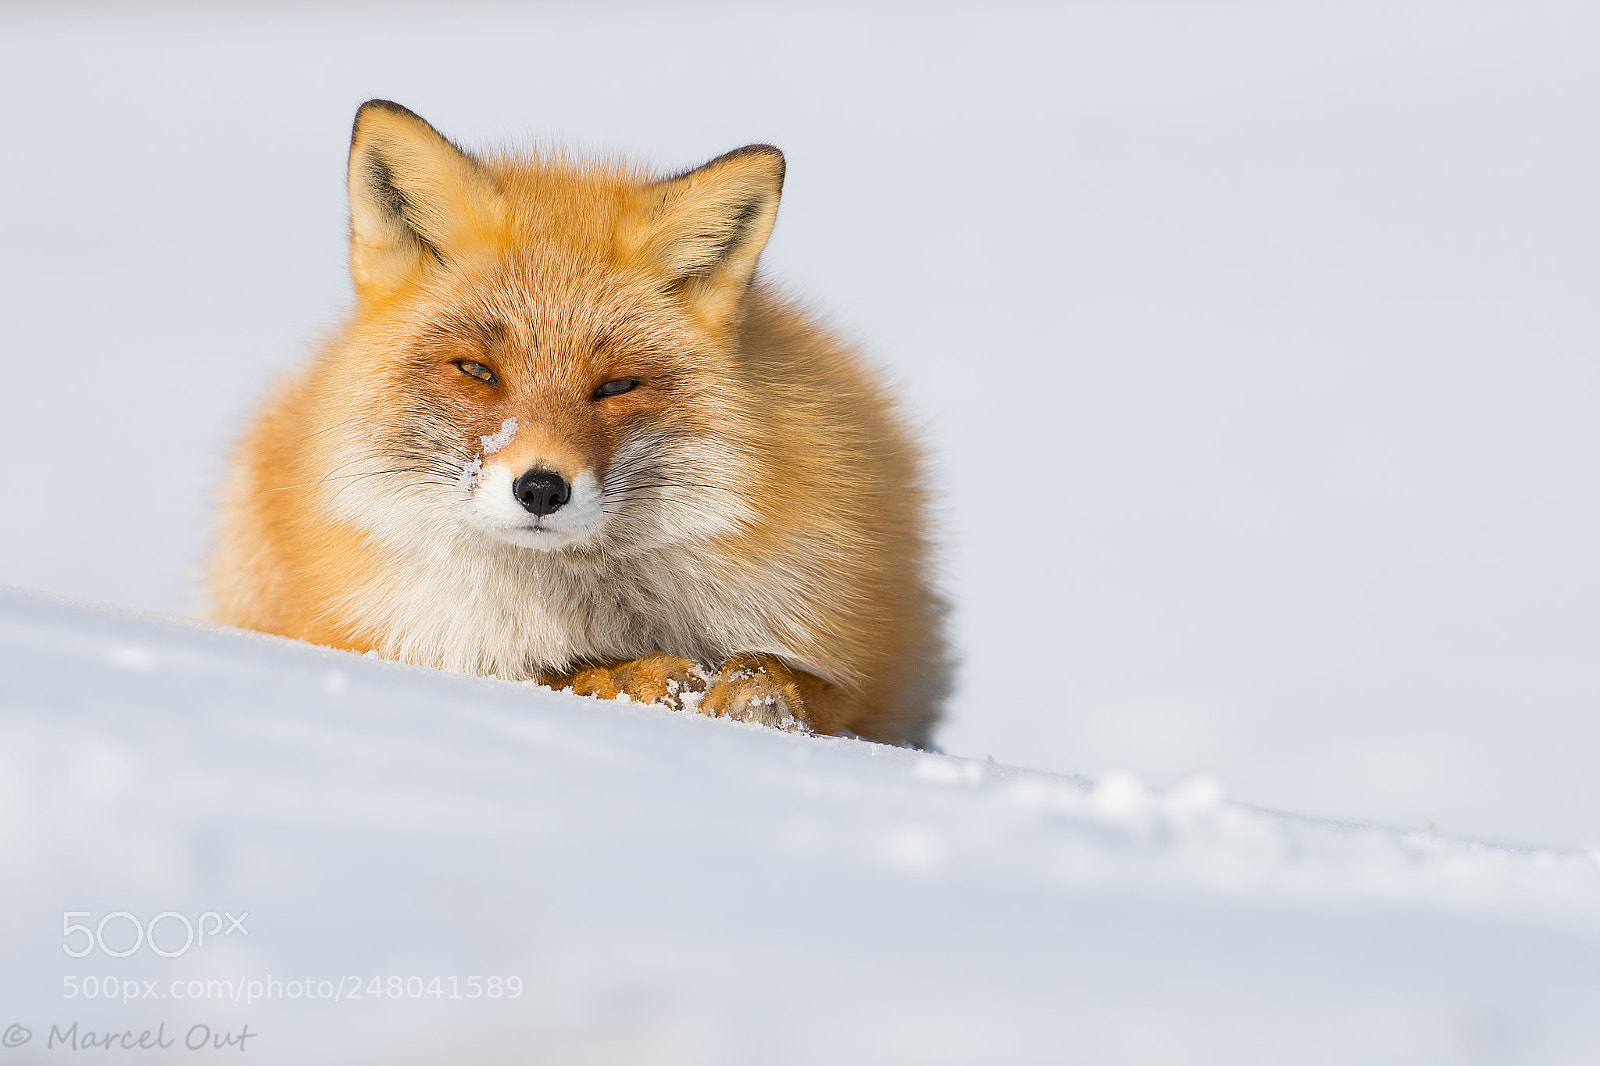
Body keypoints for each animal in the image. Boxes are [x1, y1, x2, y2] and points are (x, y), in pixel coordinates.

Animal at [208, 100, 948, 745]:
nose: (540, 488)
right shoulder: (384, 634)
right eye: (477, 371)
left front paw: (755, 688)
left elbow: (795, 675)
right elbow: (556, 675)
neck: (587, 602)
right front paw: (635, 678)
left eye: (615, 386)